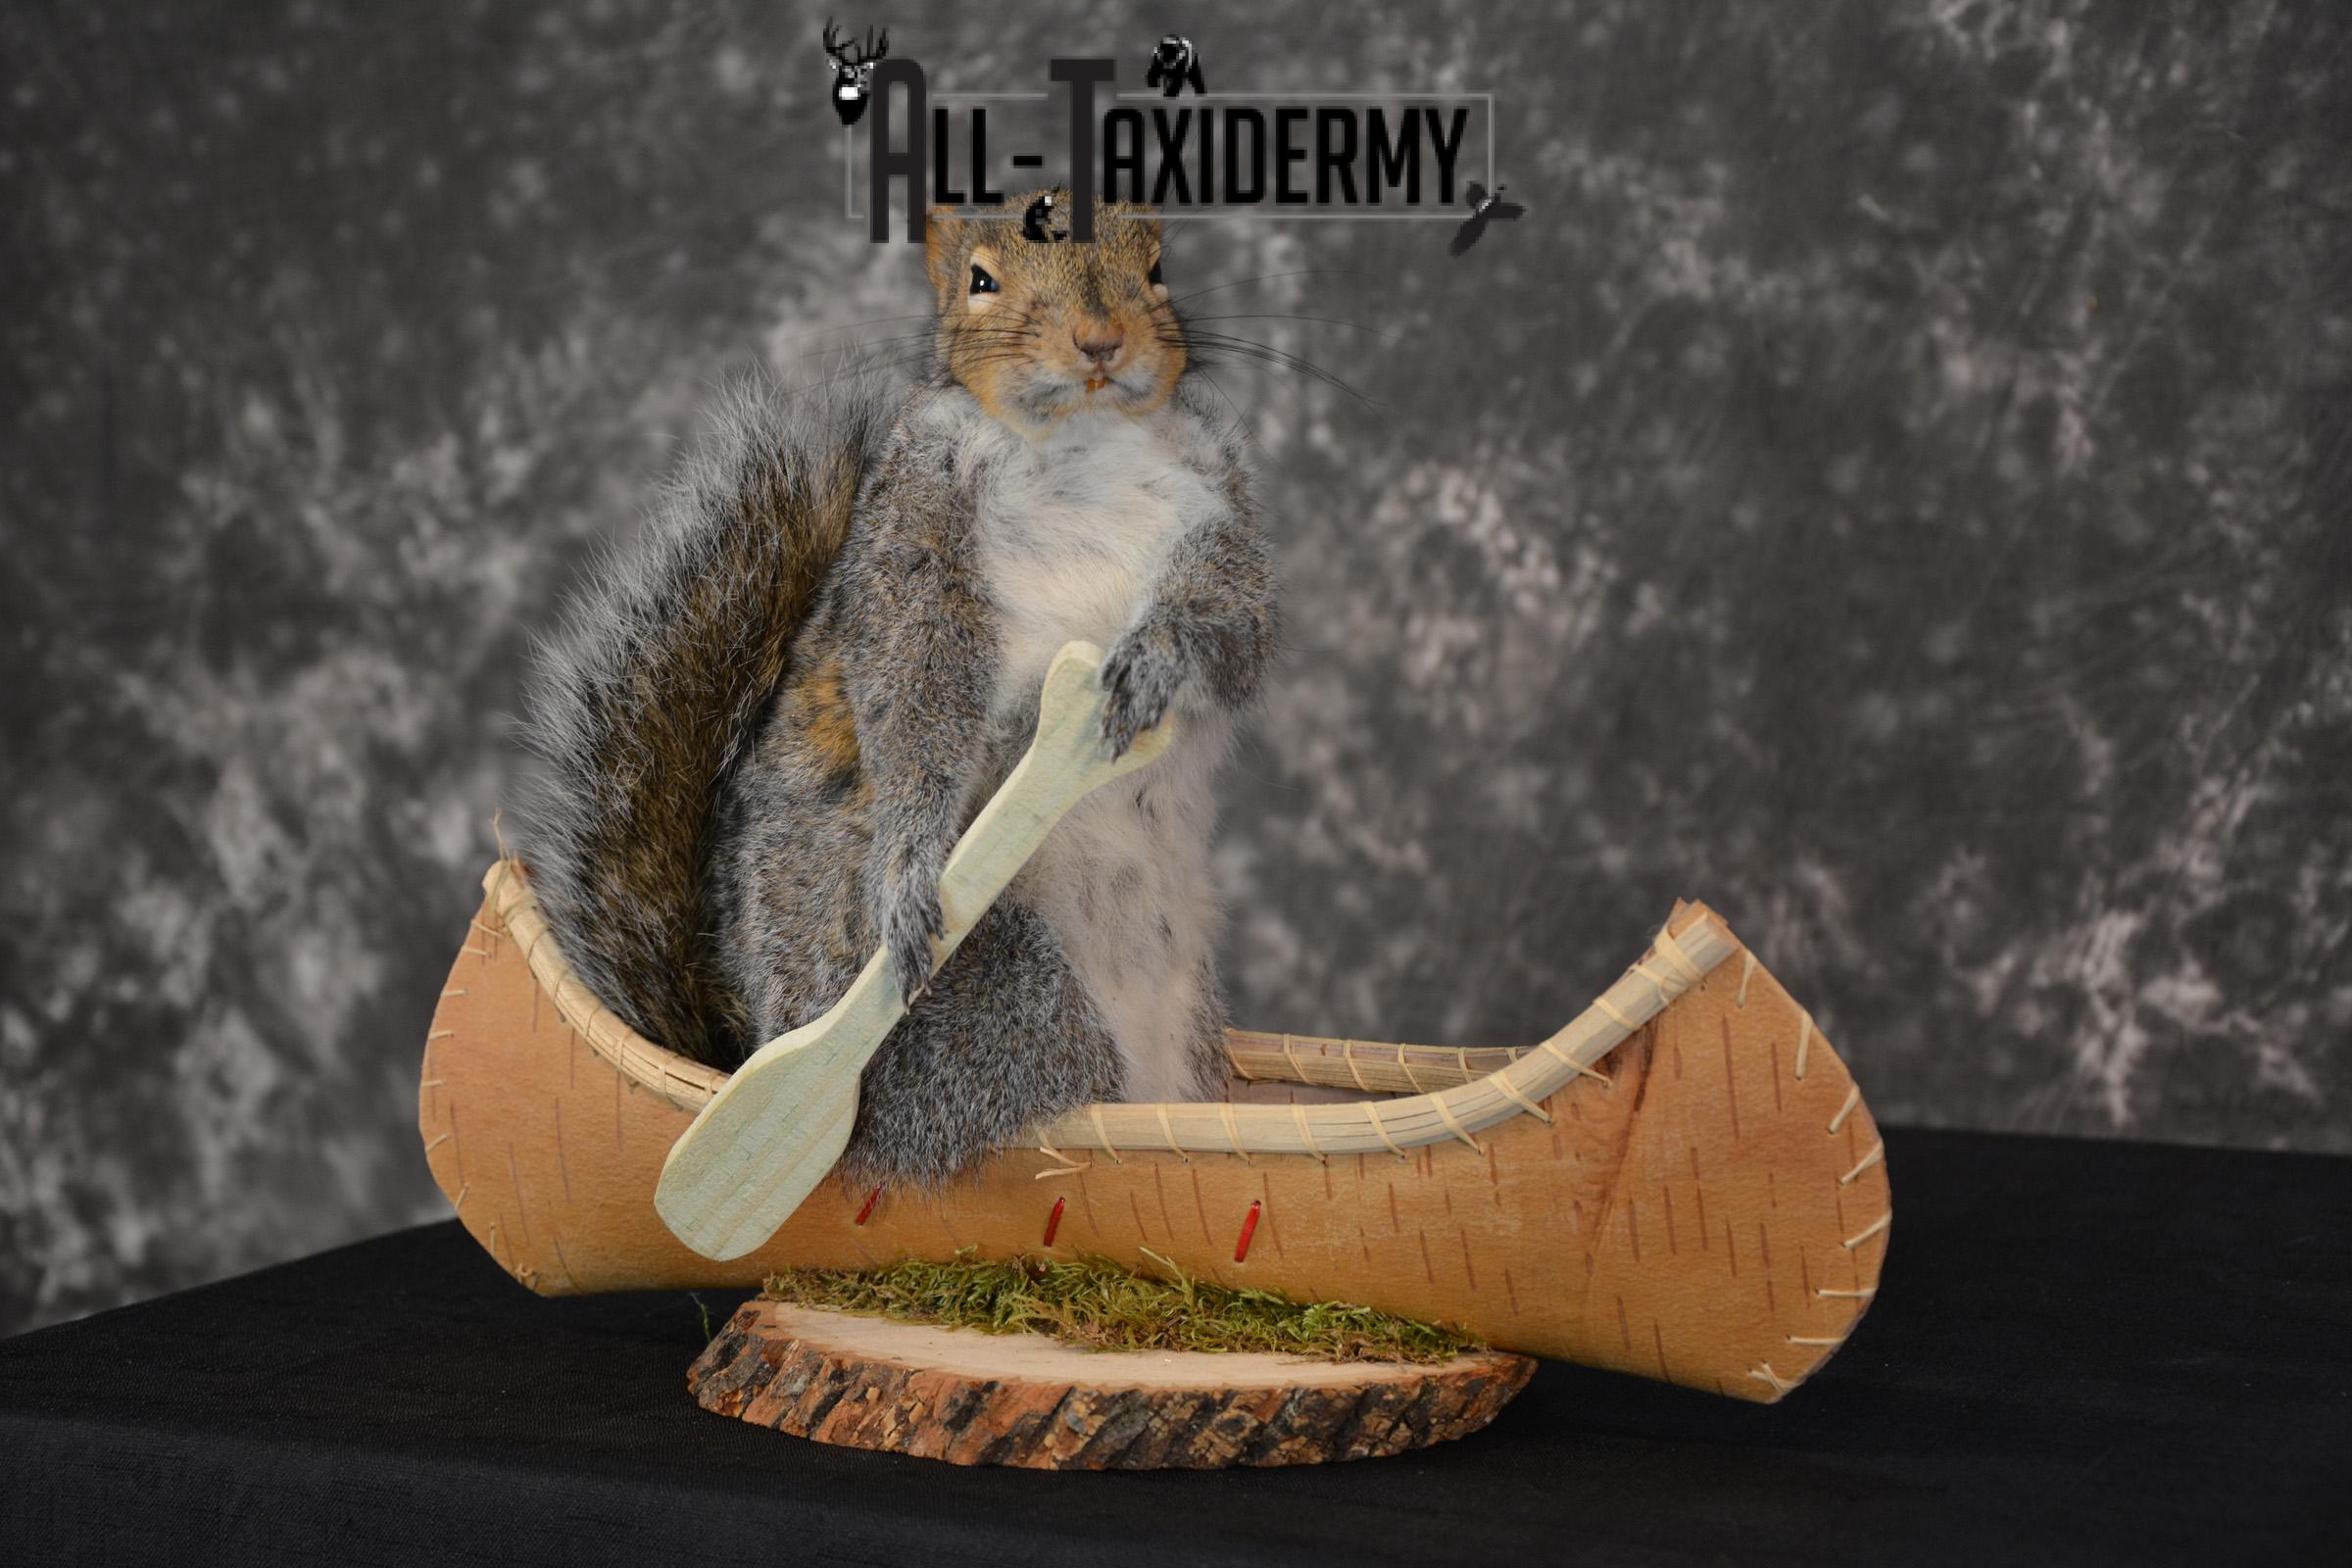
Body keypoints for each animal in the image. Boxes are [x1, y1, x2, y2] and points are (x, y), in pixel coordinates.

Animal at [518, 190, 1278, 1189]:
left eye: (1156, 268)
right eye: (980, 280)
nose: (1099, 341)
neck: (1081, 445)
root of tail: (754, 1051)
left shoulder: (1223, 501)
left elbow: (1238, 626)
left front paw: (1157, 654)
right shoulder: (915, 536)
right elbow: (915, 697)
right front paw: (913, 863)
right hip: (1004, 985)